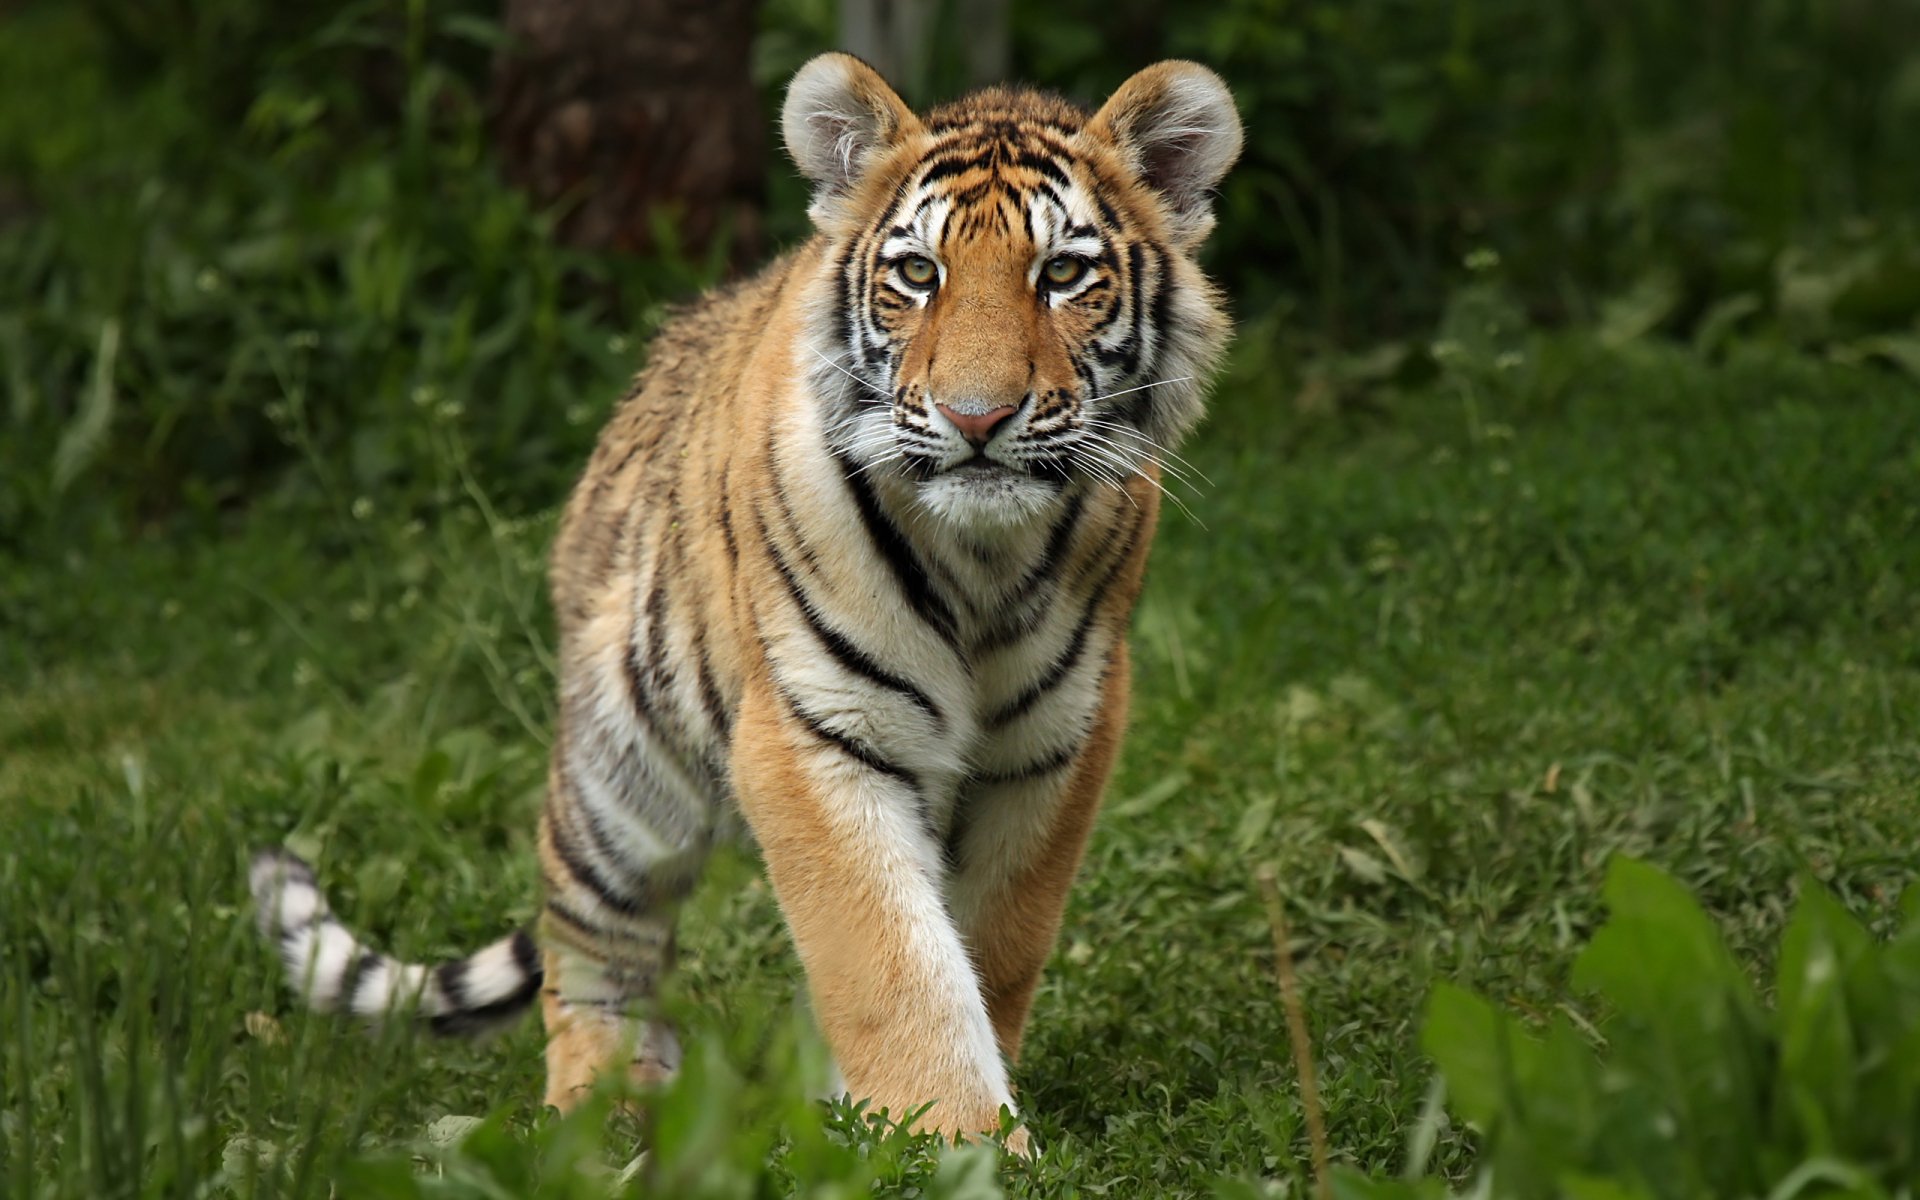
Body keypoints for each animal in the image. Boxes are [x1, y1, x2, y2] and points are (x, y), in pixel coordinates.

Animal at [250, 51, 1241, 1152]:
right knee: (589, 947)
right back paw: (602, 1113)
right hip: (621, 775)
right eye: (918, 275)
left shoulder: (1055, 743)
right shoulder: (816, 733)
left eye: (1062, 276)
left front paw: (913, 1126)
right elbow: (892, 962)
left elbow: (990, 943)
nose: (977, 417)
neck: (982, 558)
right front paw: (960, 1144)